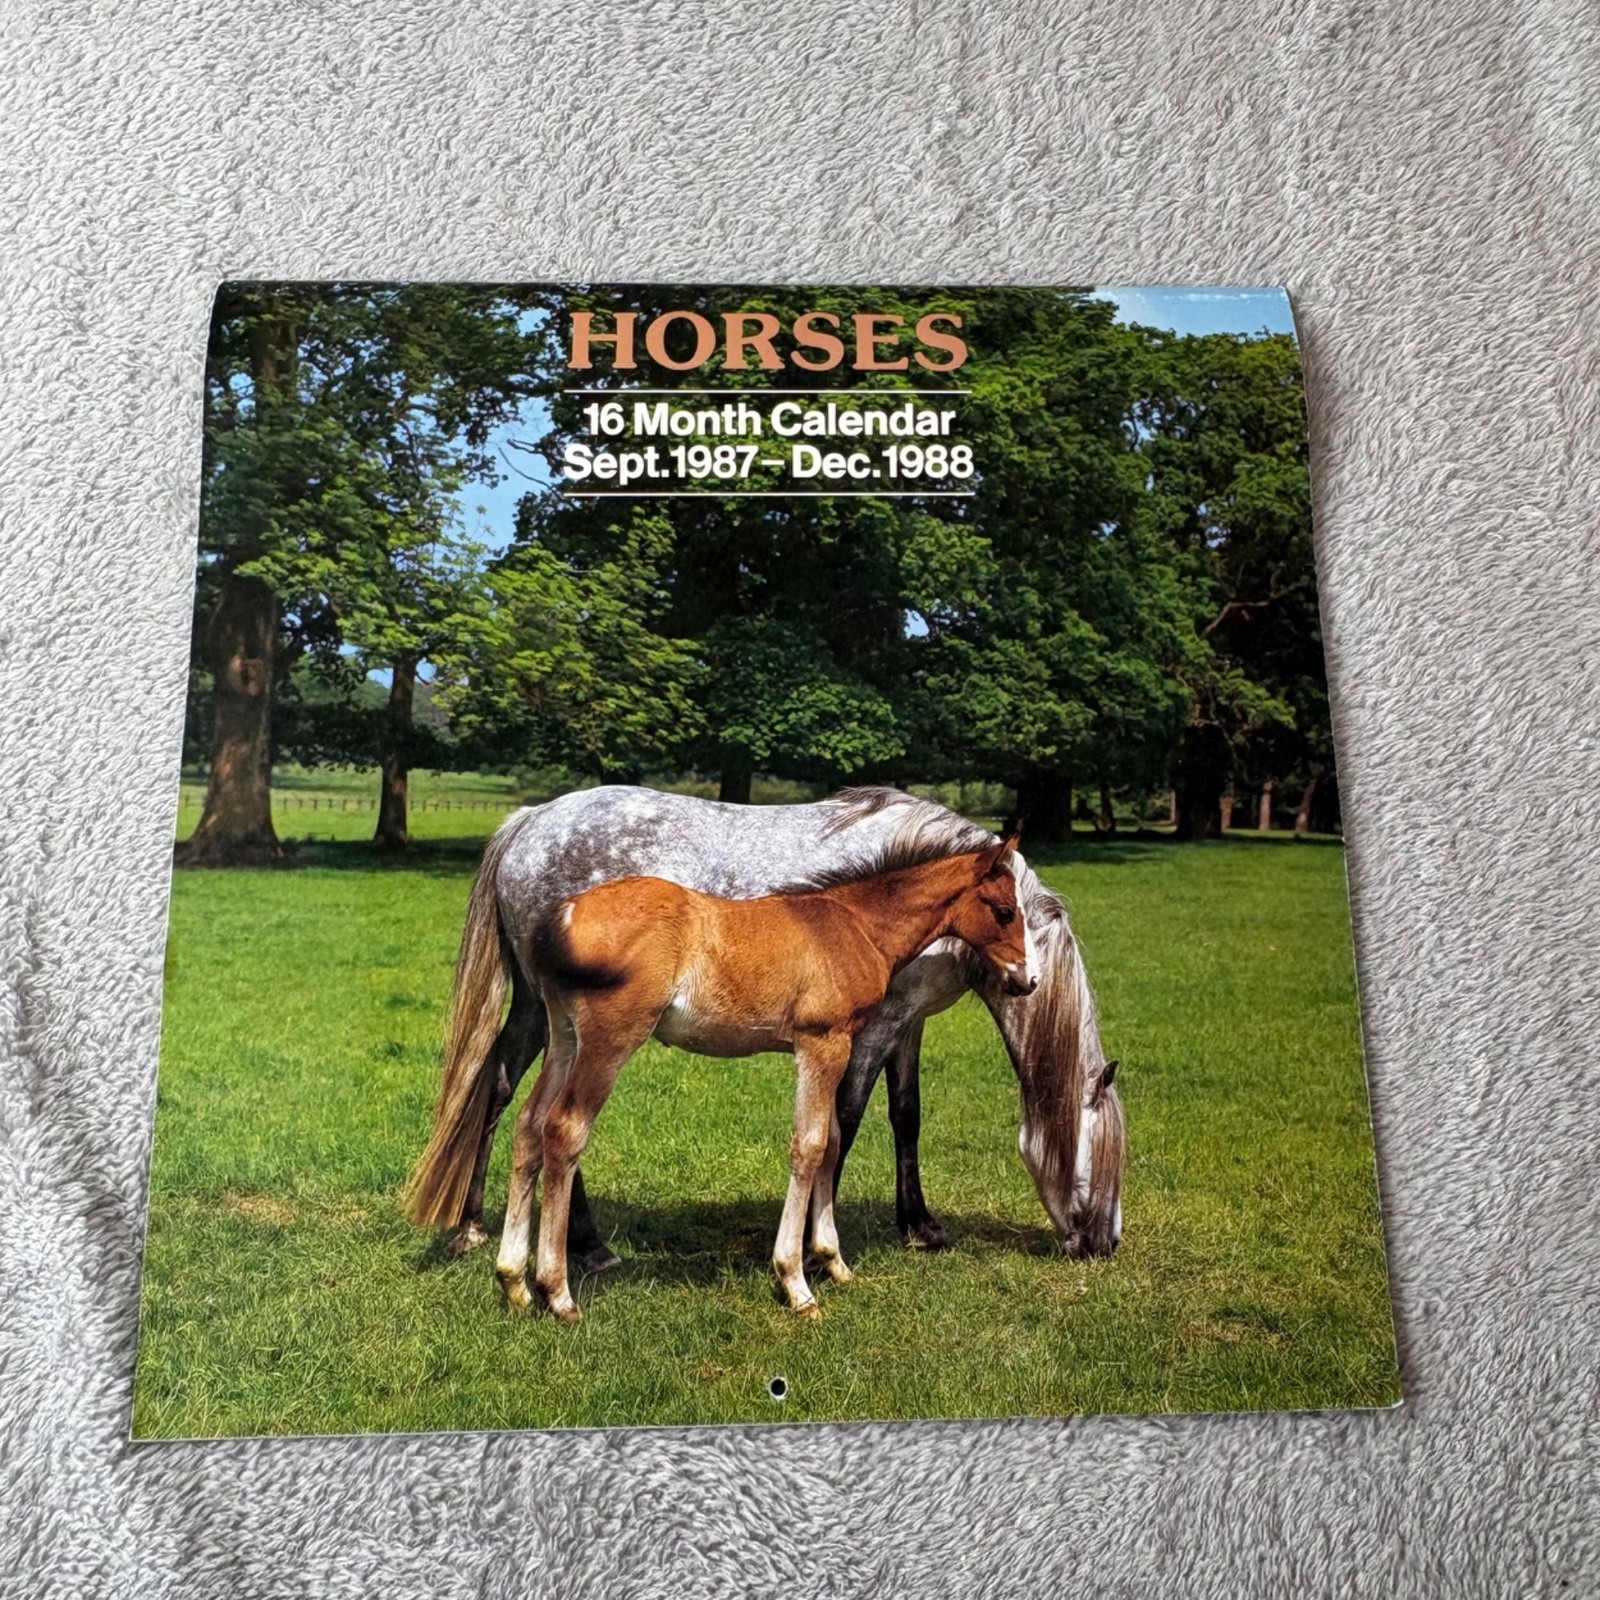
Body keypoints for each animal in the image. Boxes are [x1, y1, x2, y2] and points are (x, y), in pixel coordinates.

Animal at [403, 785, 1124, 1265]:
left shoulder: (908, 1021)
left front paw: (918, 1225)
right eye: (1106, 1157)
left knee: (502, 1089)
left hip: (539, 1008)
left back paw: (488, 1229)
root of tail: (530, 821)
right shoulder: (871, 1027)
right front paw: (813, 1246)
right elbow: (842, 1123)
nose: (1102, 1244)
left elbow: (905, 1115)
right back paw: (577, 1244)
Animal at [494, 833, 1030, 1320]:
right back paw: (558, 1293)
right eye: (1006, 910)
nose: (1028, 981)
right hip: (610, 1040)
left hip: (564, 1038)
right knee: (564, 1130)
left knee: (528, 1126)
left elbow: (832, 1141)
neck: (856, 925)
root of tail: (563, 913)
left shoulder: (833, 1047)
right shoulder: (821, 1042)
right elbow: (810, 1146)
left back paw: (513, 1282)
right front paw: (796, 1283)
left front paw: (834, 1263)